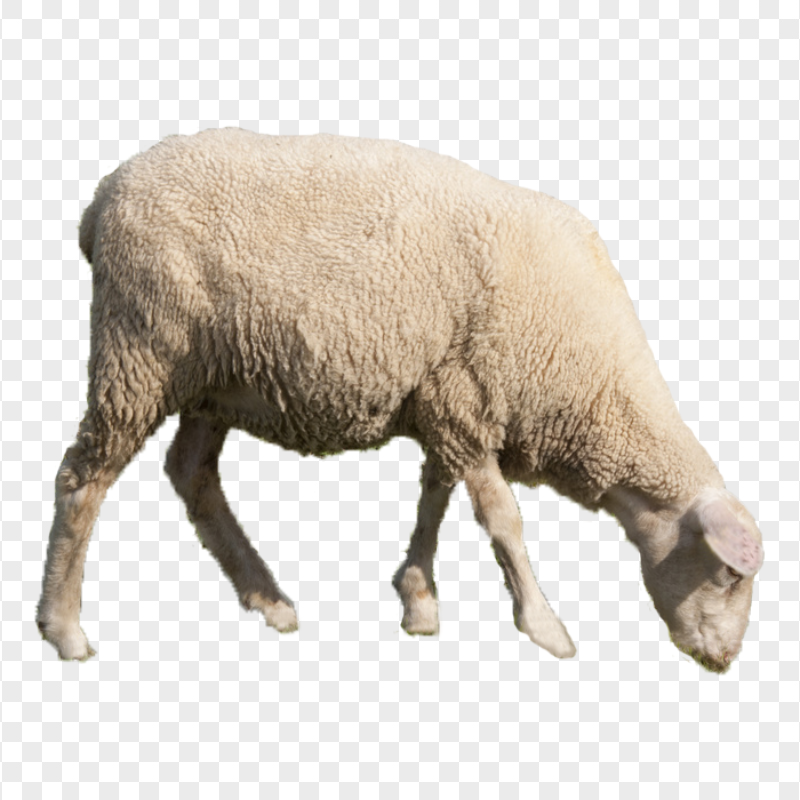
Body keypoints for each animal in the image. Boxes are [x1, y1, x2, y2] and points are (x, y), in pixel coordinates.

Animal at [37, 127, 764, 670]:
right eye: (729, 574)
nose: (726, 661)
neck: (593, 390)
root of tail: (102, 200)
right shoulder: (468, 401)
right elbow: (504, 520)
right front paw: (544, 625)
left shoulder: (445, 401)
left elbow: (435, 498)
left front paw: (418, 599)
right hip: (141, 353)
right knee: (82, 480)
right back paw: (64, 629)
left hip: (213, 378)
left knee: (190, 473)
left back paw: (267, 598)